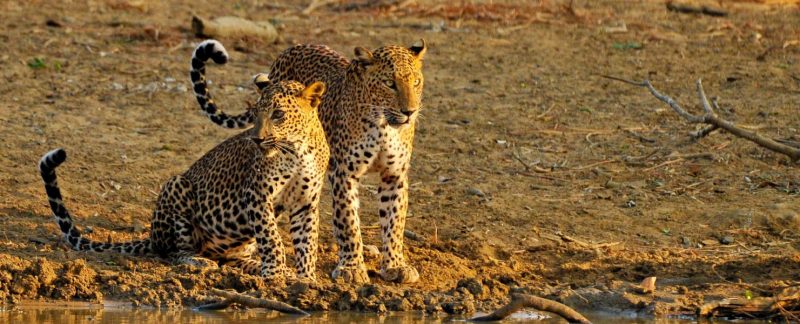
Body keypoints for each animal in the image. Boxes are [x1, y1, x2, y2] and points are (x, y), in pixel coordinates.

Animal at [39, 43, 328, 280]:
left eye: (278, 114)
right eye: (255, 113)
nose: (257, 140)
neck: (297, 150)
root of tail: (151, 237)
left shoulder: (305, 202)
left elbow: (306, 243)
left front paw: (304, 279)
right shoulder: (257, 195)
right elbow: (272, 238)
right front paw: (276, 274)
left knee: (230, 259)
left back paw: (257, 266)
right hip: (176, 188)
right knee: (174, 252)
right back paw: (199, 261)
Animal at [189, 38, 424, 284]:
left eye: (416, 82)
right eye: (389, 83)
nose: (409, 112)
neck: (384, 126)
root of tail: (290, 49)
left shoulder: (394, 174)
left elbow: (394, 221)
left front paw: (396, 265)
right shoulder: (344, 173)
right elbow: (348, 221)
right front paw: (351, 267)